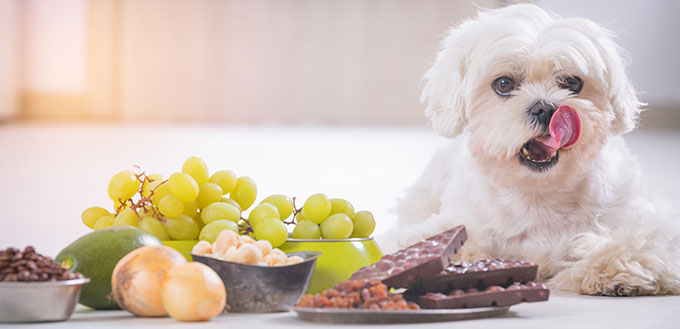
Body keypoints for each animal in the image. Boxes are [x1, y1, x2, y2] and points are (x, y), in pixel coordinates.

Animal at [380, 3, 676, 294]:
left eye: (572, 83)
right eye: (503, 84)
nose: (545, 108)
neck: (537, 194)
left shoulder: (638, 219)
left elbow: (638, 241)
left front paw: (613, 268)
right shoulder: (454, 222)